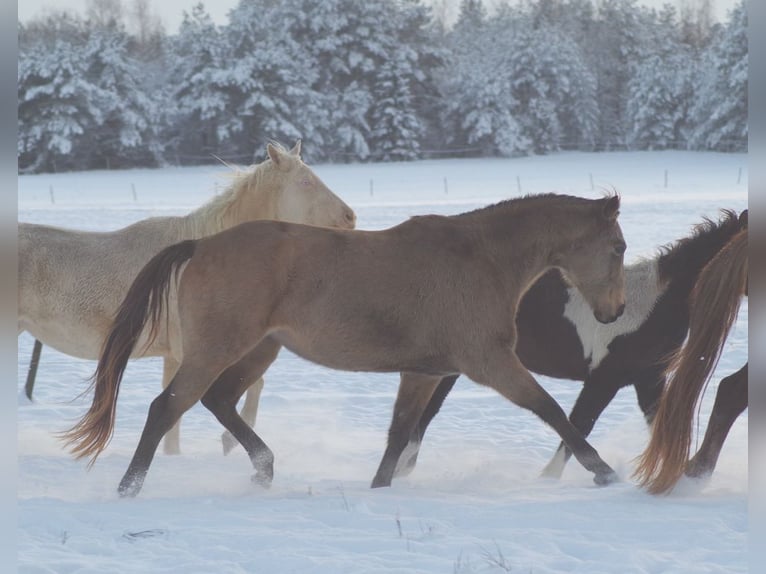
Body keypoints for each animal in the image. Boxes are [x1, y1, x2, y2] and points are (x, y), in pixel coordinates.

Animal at [64, 194, 632, 500]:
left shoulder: (424, 372)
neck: (482, 260)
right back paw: (129, 488)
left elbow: (399, 434)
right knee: (166, 408)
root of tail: (201, 245)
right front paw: (605, 472)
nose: (616, 311)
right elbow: (552, 410)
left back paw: (265, 469)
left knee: (217, 401)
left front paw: (379, 489)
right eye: (619, 246)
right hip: (217, 350)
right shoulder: (490, 363)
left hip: (258, 351)